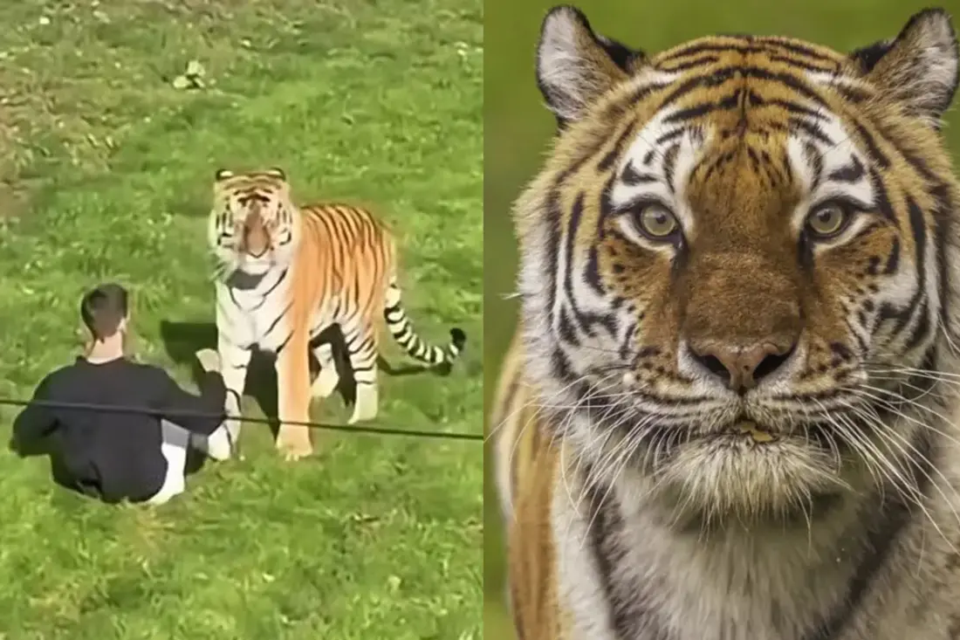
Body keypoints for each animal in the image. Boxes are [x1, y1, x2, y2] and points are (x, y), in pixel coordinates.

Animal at [206, 167, 466, 461]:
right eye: (240, 223)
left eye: (270, 222)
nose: (257, 253)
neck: (249, 284)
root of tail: (380, 225)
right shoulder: (232, 343)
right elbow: (228, 394)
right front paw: (224, 441)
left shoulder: (290, 343)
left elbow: (290, 395)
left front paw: (294, 449)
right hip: (321, 325)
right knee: (331, 362)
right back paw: (316, 392)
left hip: (359, 326)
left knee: (366, 374)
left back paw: (360, 420)